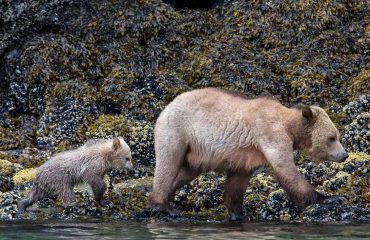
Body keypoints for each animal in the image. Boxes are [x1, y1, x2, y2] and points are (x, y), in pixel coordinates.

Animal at [149, 87, 348, 219]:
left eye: (337, 136)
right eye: (332, 138)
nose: (344, 155)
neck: (289, 126)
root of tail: (168, 105)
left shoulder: (246, 155)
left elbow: (237, 184)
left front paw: (238, 214)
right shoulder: (270, 133)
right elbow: (286, 169)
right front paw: (328, 198)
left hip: (196, 152)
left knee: (185, 172)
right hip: (177, 131)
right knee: (168, 164)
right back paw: (162, 205)